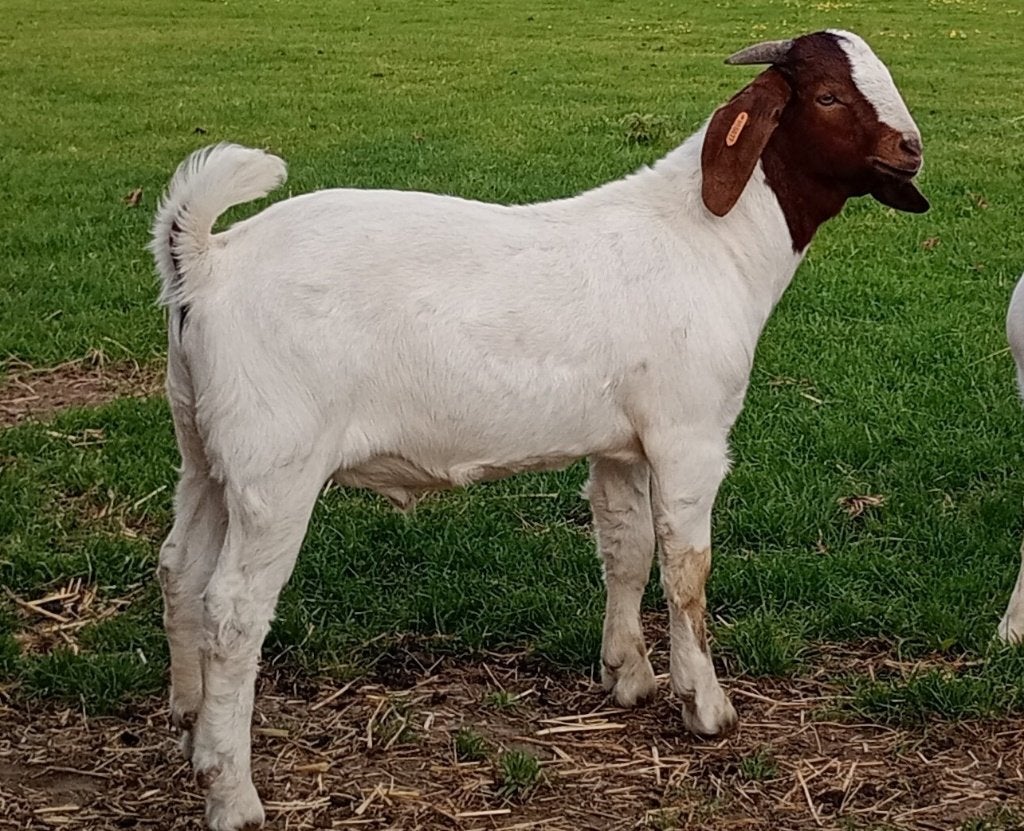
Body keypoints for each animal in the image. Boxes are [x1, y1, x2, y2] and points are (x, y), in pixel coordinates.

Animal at [152, 30, 928, 830]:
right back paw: (231, 791)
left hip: (205, 448)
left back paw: (189, 720)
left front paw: (627, 675)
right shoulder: (688, 436)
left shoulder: (622, 446)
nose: (911, 150)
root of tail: (204, 263)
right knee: (234, 610)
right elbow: (687, 570)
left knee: (180, 567)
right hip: (275, 463)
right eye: (829, 96)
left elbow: (626, 549)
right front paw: (705, 706)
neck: (712, 242)